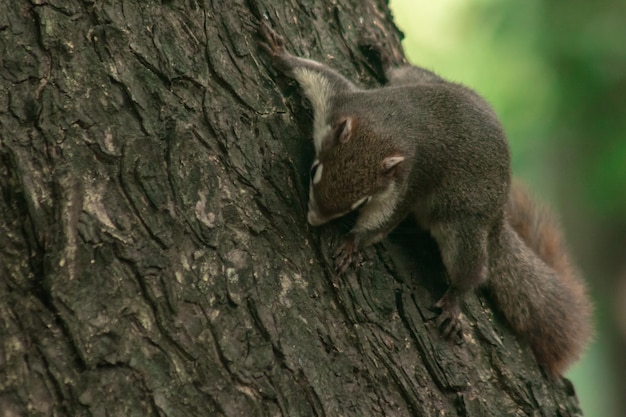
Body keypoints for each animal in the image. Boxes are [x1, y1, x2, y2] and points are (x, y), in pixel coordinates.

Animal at [258, 21, 588, 376]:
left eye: (358, 203)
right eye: (314, 169)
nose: (314, 219)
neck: (386, 130)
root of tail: (499, 210)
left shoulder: (408, 184)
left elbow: (382, 222)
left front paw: (351, 243)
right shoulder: (342, 101)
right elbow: (315, 72)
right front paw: (279, 53)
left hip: (463, 226)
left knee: (472, 269)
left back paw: (454, 302)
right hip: (419, 80)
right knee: (405, 73)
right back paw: (382, 56)